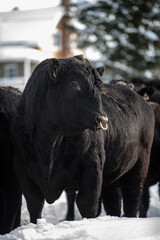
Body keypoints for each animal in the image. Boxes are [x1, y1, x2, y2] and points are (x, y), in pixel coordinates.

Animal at [11, 55, 154, 224]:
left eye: (99, 89)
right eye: (74, 84)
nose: (103, 119)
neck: (50, 142)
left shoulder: (92, 167)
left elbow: (87, 204)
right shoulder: (22, 170)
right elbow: (35, 204)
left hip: (139, 167)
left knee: (133, 199)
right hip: (112, 177)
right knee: (114, 203)